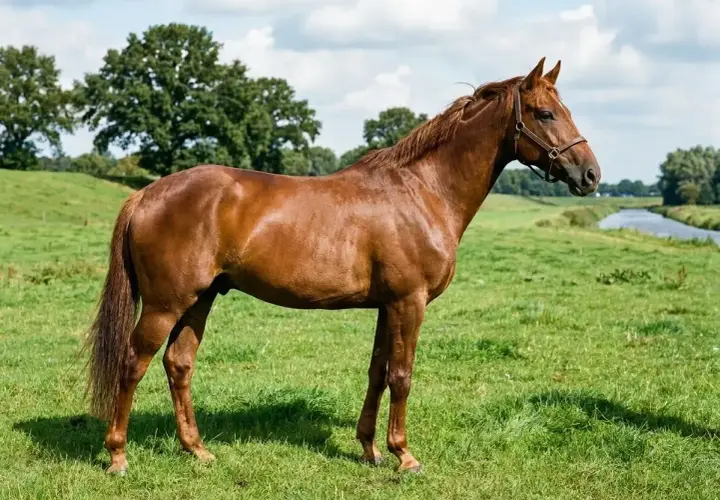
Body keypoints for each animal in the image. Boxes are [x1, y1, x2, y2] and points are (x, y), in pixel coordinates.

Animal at [84, 57, 601, 475]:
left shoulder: (386, 306)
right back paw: (118, 456)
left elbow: (377, 372)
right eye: (546, 113)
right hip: (165, 304)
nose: (591, 174)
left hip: (200, 299)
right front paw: (404, 456)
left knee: (179, 363)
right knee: (133, 363)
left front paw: (370, 450)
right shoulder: (409, 302)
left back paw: (198, 450)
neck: (422, 191)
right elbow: (402, 375)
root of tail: (147, 193)